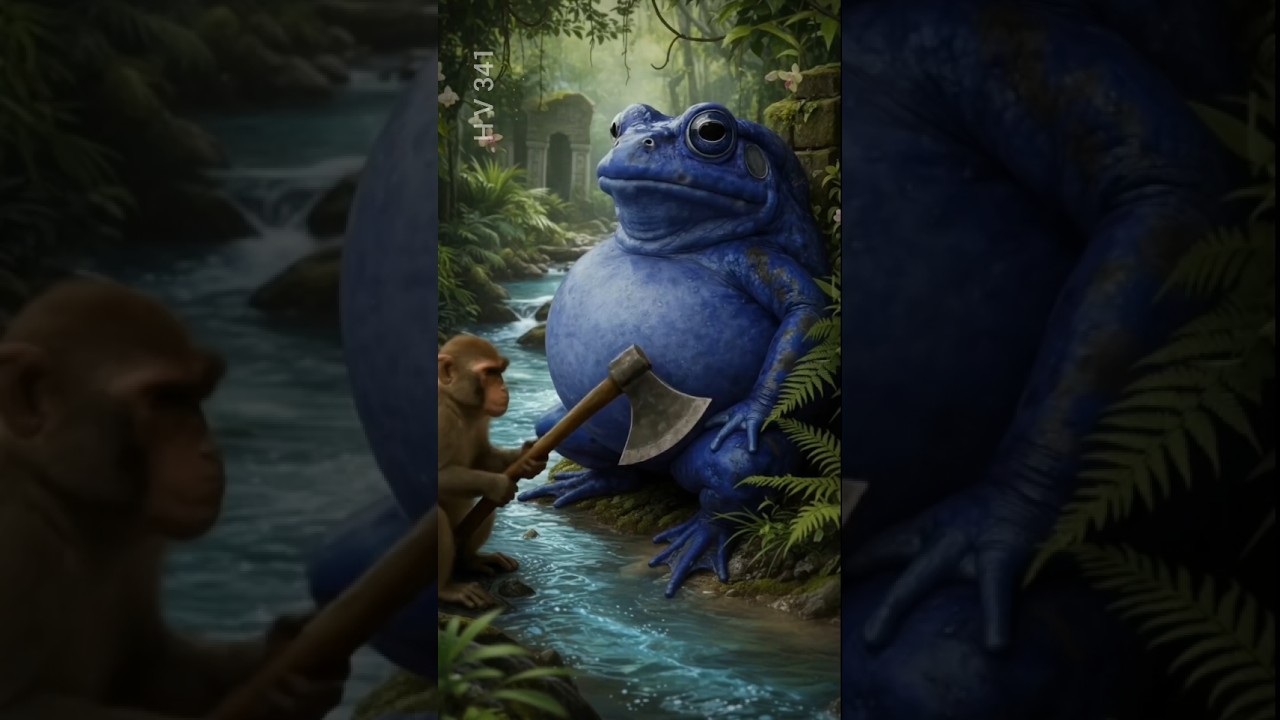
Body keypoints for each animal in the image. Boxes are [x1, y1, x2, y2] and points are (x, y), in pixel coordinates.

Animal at [0, 277, 349, 720]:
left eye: (196, 395)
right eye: (165, 399)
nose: (209, 450)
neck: (64, 497)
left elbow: (147, 667)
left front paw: (278, 662)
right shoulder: (15, 537)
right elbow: (19, 705)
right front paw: (272, 696)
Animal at [438, 333, 547, 609]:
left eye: (500, 372)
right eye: (488, 373)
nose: (503, 388)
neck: (458, 404)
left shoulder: (481, 417)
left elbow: (482, 459)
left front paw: (526, 459)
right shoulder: (440, 417)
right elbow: (438, 476)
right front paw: (499, 485)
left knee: (484, 509)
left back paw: (472, 560)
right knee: (440, 519)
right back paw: (446, 588)